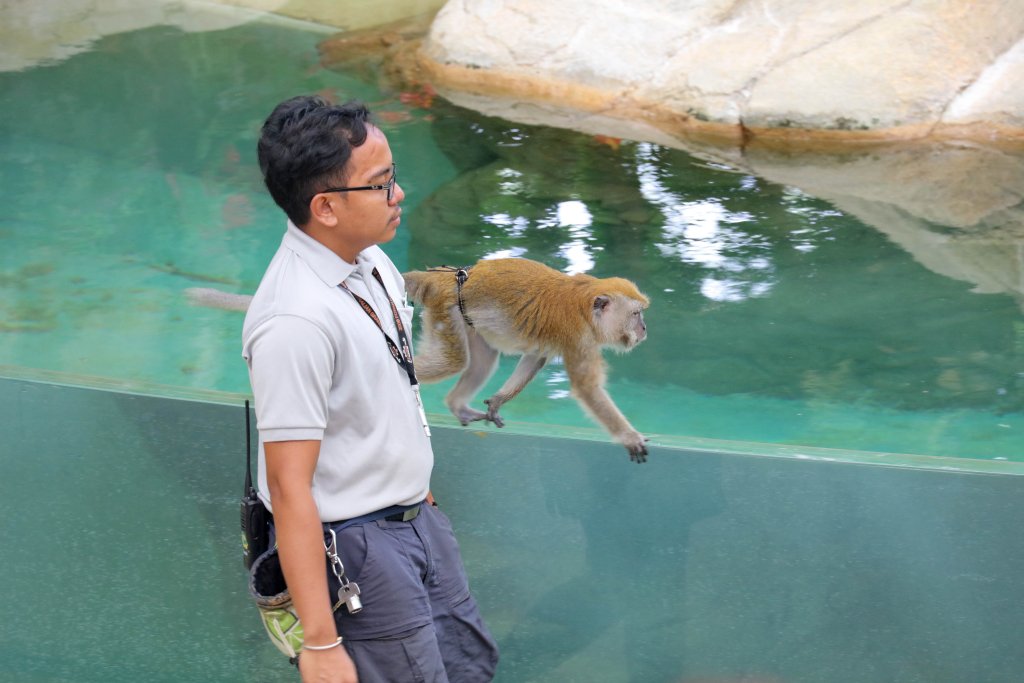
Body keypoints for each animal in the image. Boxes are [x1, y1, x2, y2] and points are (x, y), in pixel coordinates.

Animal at [403, 258, 651, 462]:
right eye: (635, 314)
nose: (644, 329)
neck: (584, 303)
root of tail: (443, 278)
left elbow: (534, 358)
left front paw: (498, 401)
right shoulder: (578, 336)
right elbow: (587, 387)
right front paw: (629, 436)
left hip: (466, 317)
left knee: (482, 362)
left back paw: (457, 406)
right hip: (446, 309)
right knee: (452, 362)